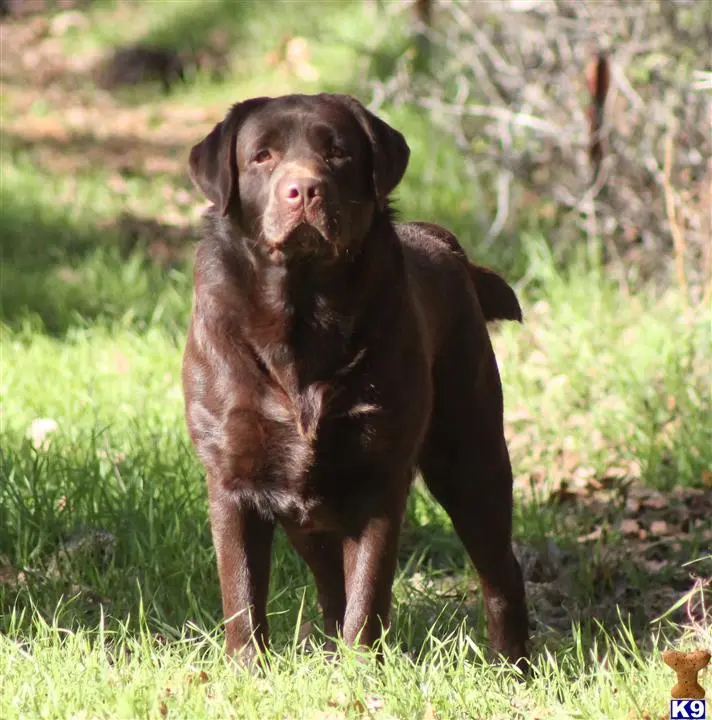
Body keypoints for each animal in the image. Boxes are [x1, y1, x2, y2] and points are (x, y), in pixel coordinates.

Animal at [184, 93, 528, 668]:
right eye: (262, 156)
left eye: (338, 152)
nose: (304, 189)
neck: (301, 318)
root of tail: (442, 239)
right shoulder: (232, 482)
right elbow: (243, 593)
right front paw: (247, 670)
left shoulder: (378, 477)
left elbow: (367, 595)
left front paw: (362, 672)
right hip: (308, 510)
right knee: (329, 584)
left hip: (470, 458)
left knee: (500, 569)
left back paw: (511, 665)